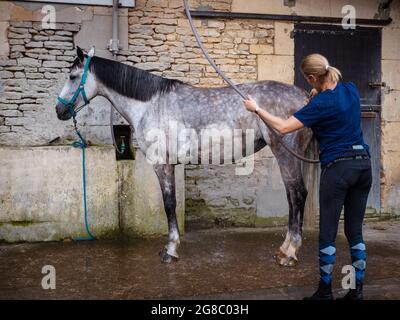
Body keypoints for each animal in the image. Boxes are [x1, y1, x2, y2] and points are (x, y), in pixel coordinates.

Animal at [55, 47, 316, 266]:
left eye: (72, 76)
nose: (59, 110)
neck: (150, 104)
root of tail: (305, 97)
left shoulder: (162, 164)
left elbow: (169, 204)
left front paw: (170, 250)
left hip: (285, 154)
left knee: (297, 194)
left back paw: (290, 253)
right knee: (293, 196)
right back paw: (284, 249)